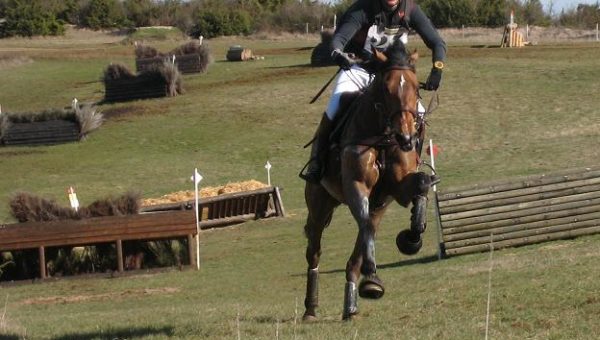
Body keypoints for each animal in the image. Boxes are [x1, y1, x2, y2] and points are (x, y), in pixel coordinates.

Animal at [304, 41, 436, 320]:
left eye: (415, 88)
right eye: (386, 89)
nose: (406, 137)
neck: (383, 136)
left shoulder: (394, 190)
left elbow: (421, 182)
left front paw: (412, 238)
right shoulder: (357, 187)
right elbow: (365, 226)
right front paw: (373, 274)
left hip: (378, 204)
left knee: (362, 241)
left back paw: (353, 302)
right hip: (320, 204)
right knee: (315, 251)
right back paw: (311, 307)